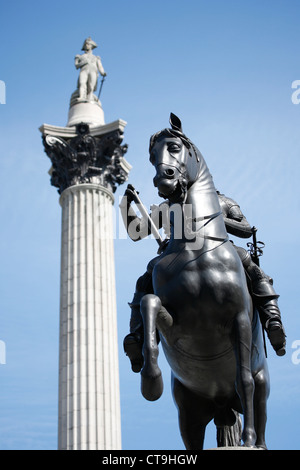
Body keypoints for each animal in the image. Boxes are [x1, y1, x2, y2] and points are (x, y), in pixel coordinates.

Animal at [138, 113, 270, 448]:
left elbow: (243, 379)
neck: (195, 248)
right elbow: (148, 301)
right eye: (151, 155)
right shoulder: (176, 322)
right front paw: (150, 379)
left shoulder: (239, 320)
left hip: (263, 385)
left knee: (256, 402)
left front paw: (248, 438)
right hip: (189, 409)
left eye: (174, 146)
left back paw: (254, 438)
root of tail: (222, 406)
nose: (164, 179)